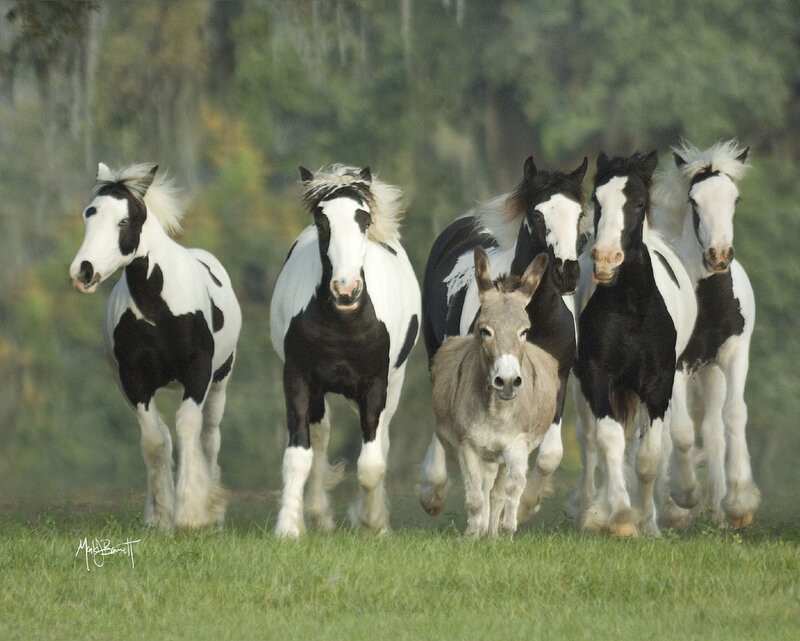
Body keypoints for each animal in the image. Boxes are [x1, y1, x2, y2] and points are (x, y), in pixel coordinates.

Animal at [69, 163, 242, 530]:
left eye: (124, 221)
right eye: (89, 214)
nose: (83, 271)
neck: (158, 309)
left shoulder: (197, 373)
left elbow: (188, 430)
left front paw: (190, 514)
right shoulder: (134, 380)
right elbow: (155, 441)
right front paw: (162, 517)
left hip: (221, 380)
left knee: (210, 438)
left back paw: (213, 512)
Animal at [270, 165, 421, 538]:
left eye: (364, 220)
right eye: (321, 221)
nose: (346, 290)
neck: (343, 324)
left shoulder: (376, 384)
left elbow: (370, 464)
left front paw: (372, 523)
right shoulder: (297, 378)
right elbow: (299, 455)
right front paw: (289, 527)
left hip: (393, 385)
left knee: (381, 440)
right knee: (321, 437)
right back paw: (318, 515)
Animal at [431, 247, 558, 536]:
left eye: (525, 331)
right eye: (484, 330)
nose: (508, 381)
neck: (496, 410)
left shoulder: (517, 445)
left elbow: (510, 490)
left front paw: (505, 533)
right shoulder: (468, 446)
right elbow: (476, 496)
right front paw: (474, 534)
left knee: (497, 491)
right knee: (485, 487)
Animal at [573, 151, 697, 536]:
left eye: (639, 202)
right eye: (597, 200)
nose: (605, 258)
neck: (629, 305)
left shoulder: (658, 383)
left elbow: (648, 455)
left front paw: (646, 522)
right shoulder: (597, 375)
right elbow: (609, 440)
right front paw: (621, 516)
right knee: (589, 441)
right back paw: (590, 511)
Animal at [652, 139, 759, 528]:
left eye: (735, 198)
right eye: (694, 201)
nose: (718, 256)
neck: (710, 302)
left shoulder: (734, 355)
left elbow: (735, 415)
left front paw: (739, 504)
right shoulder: (677, 365)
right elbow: (681, 431)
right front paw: (683, 497)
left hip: (711, 371)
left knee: (713, 428)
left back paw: (716, 507)